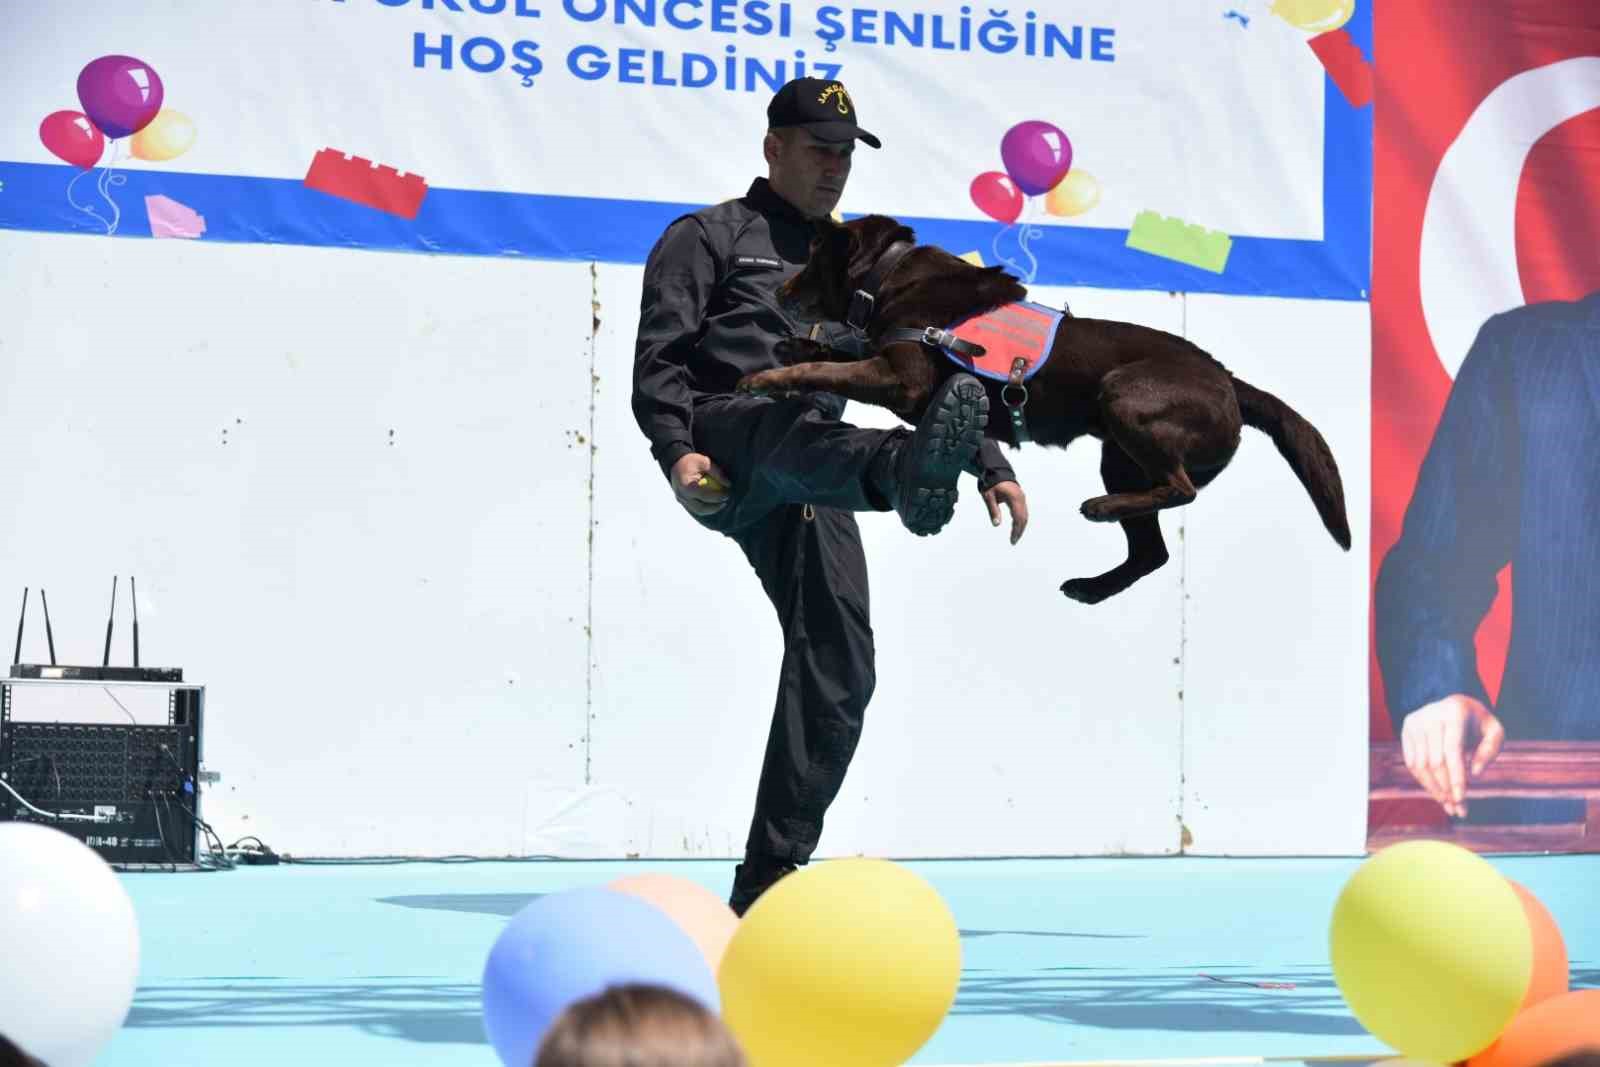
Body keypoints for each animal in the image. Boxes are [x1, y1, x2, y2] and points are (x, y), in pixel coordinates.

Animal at [736, 212, 1350, 604]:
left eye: (813, 257)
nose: (782, 293)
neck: (889, 275)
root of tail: (1231, 381)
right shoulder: (887, 364)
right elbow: (834, 353)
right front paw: (793, 348)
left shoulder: (902, 380)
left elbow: (831, 368)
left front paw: (766, 378)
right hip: (1118, 454)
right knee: (1152, 552)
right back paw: (1091, 586)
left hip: (1125, 397)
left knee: (1181, 490)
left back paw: (1100, 509)